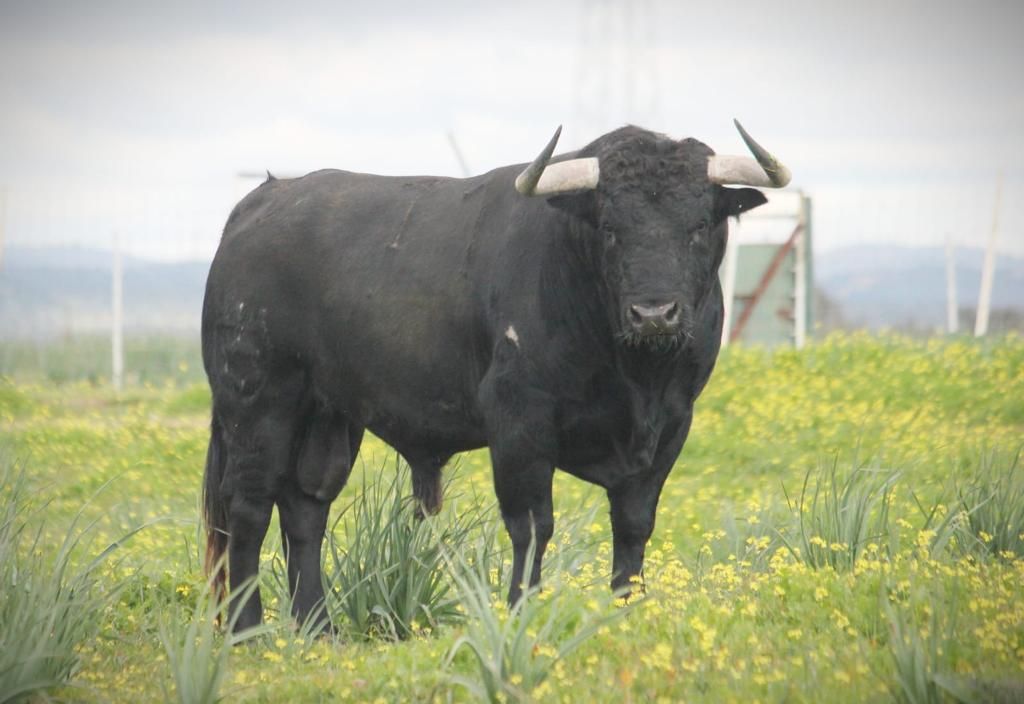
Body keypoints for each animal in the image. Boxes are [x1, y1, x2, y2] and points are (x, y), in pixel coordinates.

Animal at [201, 120, 790, 634]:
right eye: (609, 228)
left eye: (699, 226)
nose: (654, 314)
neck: (636, 377)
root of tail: (262, 201)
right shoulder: (518, 418)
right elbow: (532, 524)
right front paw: (520, 614)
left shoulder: (671, 424)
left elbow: (634, 524)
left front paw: (627, 615)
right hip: (257, 402)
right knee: (249, 507)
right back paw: (246, 631)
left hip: (329, 414)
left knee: (305, 507)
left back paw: (317, 630)